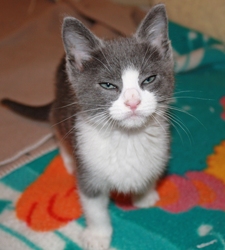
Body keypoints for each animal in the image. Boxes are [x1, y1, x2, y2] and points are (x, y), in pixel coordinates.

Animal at [0, 4, 173, 250]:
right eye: (108, 85)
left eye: (148, 79)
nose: (133, 102)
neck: (127, 138)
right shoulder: (89, 167)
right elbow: (94, 207)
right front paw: (98, 236)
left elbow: (149, 172)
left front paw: (145, 194)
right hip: (61, 112)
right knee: (56, 126)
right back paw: (68, 160)